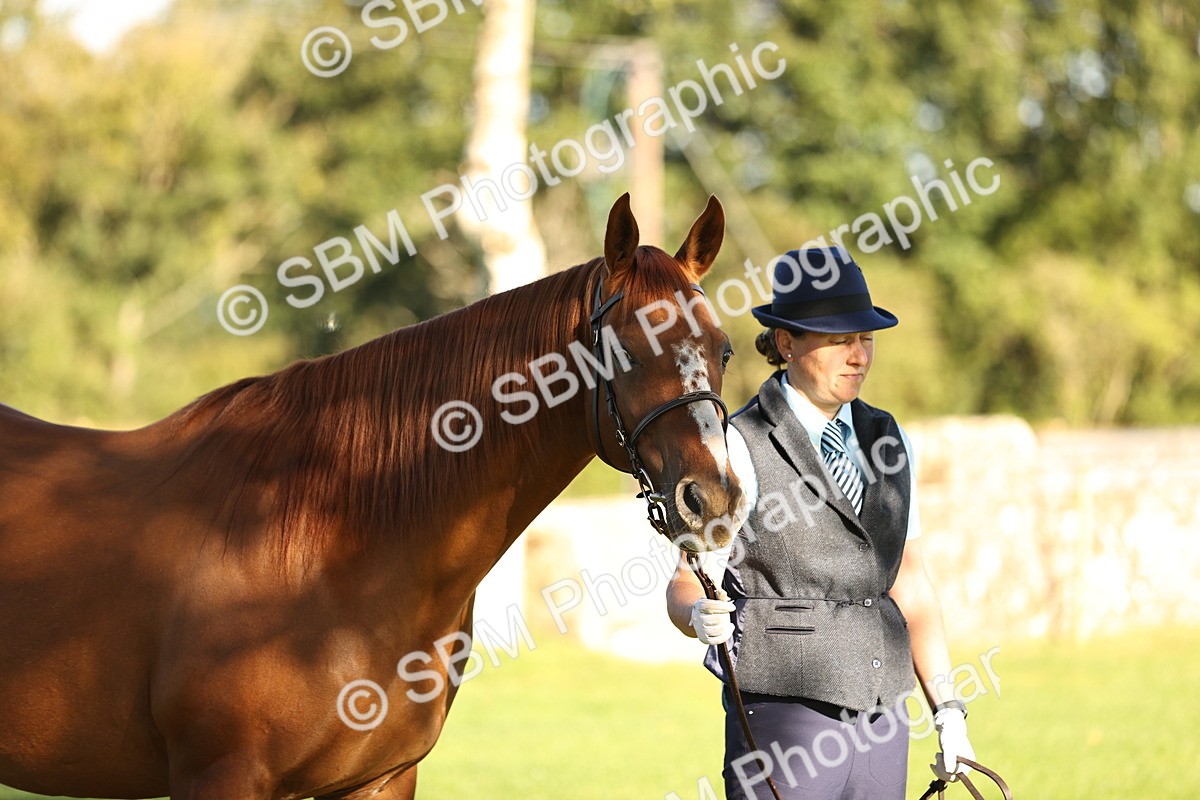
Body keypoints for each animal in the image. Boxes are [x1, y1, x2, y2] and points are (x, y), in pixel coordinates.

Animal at [0, 193, 747, 799]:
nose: (712, 499)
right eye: (622, 351)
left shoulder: (381, 779)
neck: (324, 537)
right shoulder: (222, 777)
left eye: (723, 349)